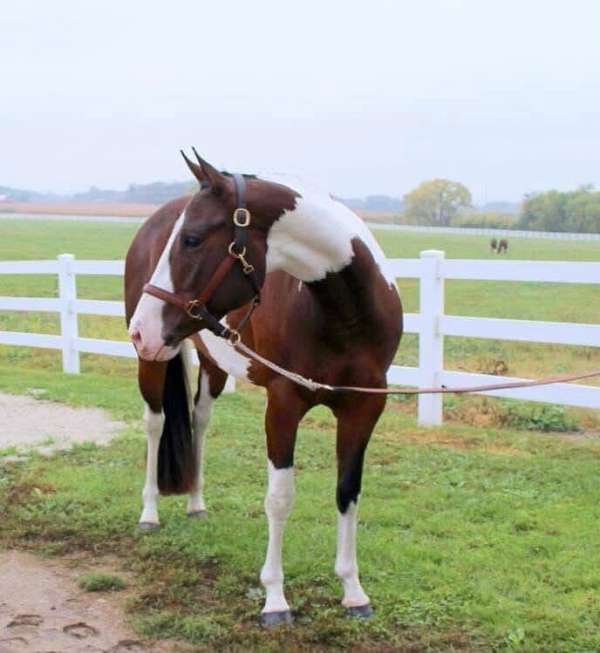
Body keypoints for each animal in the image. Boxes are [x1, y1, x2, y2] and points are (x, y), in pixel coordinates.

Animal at [124, 151, 403, 626]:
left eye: (192, 240)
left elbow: (347, 493)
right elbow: (280, 498)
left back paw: (196, 502)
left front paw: (353, 591)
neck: (344, 313)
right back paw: (149, 512)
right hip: (155, 361)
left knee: (199, 422)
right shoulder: (284, 405)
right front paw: (275, 599)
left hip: (211, 362)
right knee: (155, 424)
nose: (140, 329)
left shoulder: (363, 410)